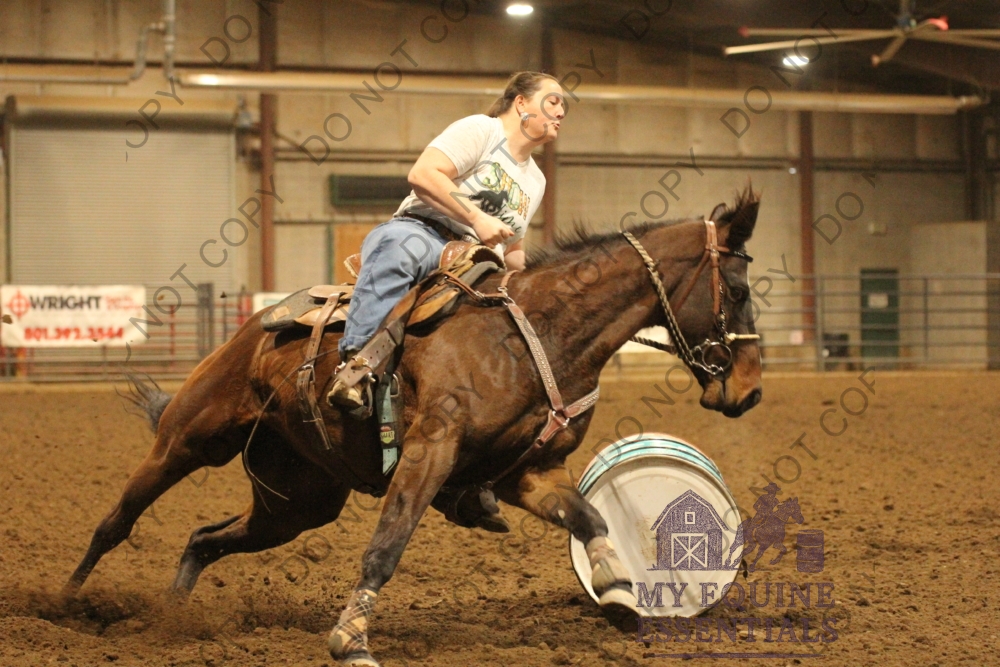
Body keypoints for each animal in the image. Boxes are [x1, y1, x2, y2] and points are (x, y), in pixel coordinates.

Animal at [63, 188, 764, 667]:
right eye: (737, 288)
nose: (751, 390)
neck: (536, 332)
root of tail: (253, 330)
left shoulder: (529, 472)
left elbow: (590, 518)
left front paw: (620, 595)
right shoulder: (431, 450)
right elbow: (387, 544)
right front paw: (349, 640)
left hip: (295, 503)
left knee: (205, 538)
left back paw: (170, 617)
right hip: (187, 440)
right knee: (116, 521)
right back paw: (66, 606)